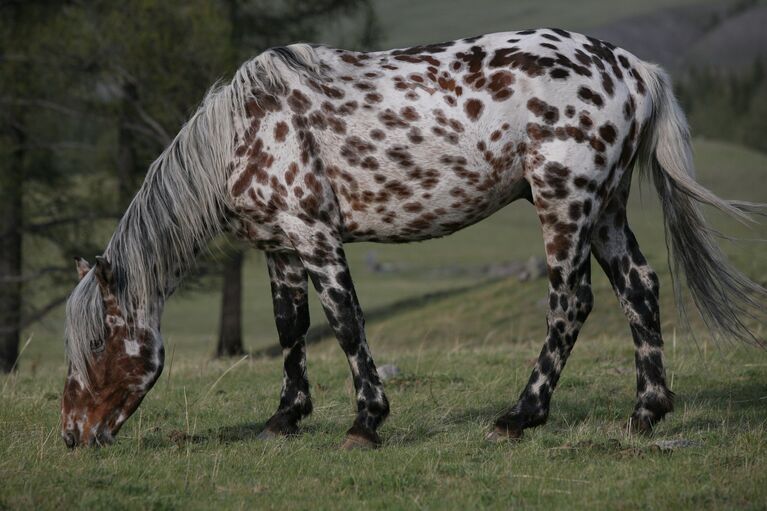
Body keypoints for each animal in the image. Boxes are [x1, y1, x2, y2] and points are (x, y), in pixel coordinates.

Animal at [61, 30, 767, 450]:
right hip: (606, 213)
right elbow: (291, 329)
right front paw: (286, 417)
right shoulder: (280, 247)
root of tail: (635, 69)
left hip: (566, 205)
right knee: (639, 291)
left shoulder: (315, 235)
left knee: (571, 303)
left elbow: (345, 322)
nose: (73, 435)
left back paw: (521, 414)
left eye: (95, 343)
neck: (246, 131)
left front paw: (366, 422)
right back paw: (647, 411)